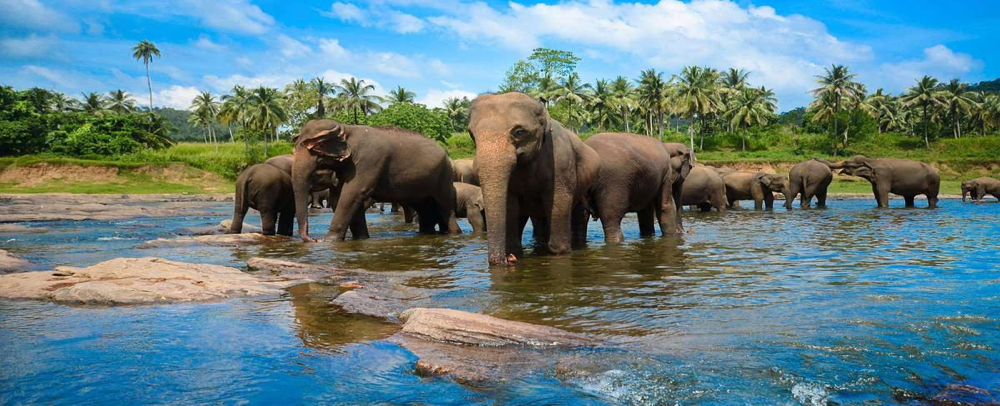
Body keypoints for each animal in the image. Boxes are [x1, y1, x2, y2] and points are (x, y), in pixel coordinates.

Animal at [291, 120, 461, 242]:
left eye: (316, 147)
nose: (313, 239)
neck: (346, 129)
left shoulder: (368, 160)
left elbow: (353, 193)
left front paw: (329, 241)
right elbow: (342, 196)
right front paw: (361, 238)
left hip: (444, 176)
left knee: (444, 206)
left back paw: (454, 233)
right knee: (425, 209)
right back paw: (427, 233)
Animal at [468, 92, 600, 265]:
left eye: (519, 132)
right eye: (471, 134)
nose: (508, 259)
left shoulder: (561, 161)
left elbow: (559, 200)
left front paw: (560, 253)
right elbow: (510, 205)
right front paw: (515, 252)